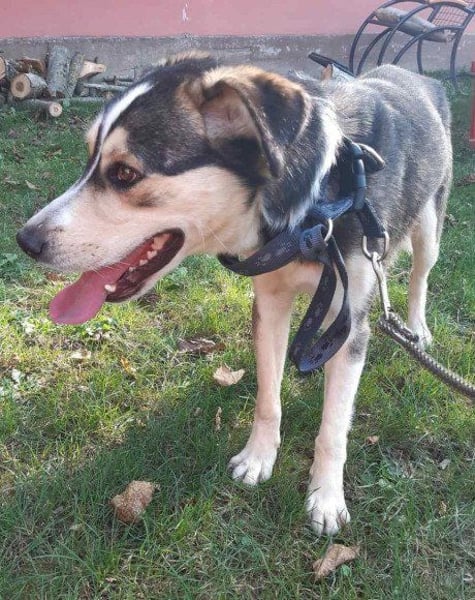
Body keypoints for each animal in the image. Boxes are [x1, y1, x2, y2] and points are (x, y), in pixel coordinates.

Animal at [16, 52, 452, 535]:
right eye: (88, 158)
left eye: (125, 173)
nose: (26, 241)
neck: (314, 205)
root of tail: (415, 75)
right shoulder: (271, 301)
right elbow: (268, 395)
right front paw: (260, 457)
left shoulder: (351, 318)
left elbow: (334, 429)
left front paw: (325, 496)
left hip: (430, 226)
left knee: (420, 276)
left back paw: (416, 328)